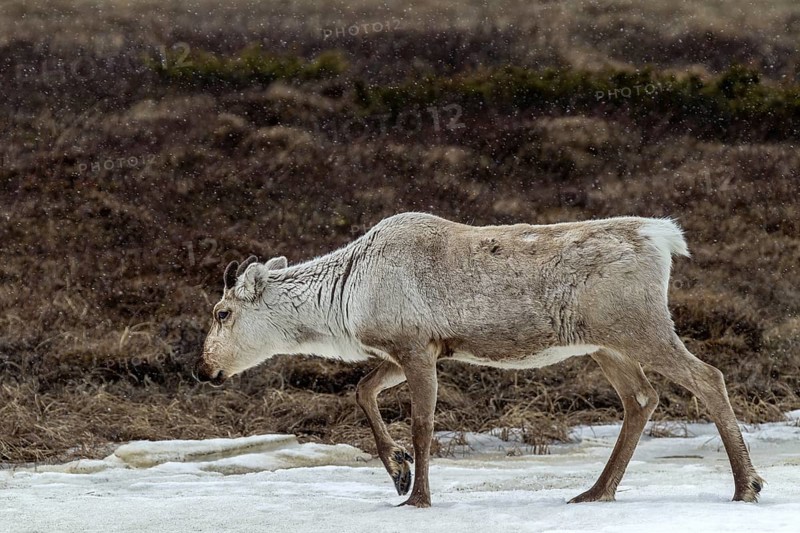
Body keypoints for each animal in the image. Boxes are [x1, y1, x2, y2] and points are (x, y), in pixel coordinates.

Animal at [195, 212, 763, 507]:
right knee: (642, 398)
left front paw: (417, 496)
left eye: (222, 312)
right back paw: (596, 491)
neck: (345, 301)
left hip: (639, 327)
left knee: (708, 377)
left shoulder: (415, 347)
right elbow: (362, 390)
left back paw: (746, 486)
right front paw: (397, 470)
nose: (204, 368)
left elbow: (423, 423)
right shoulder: (415, 348)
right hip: (605, 343)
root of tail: (664, 238)